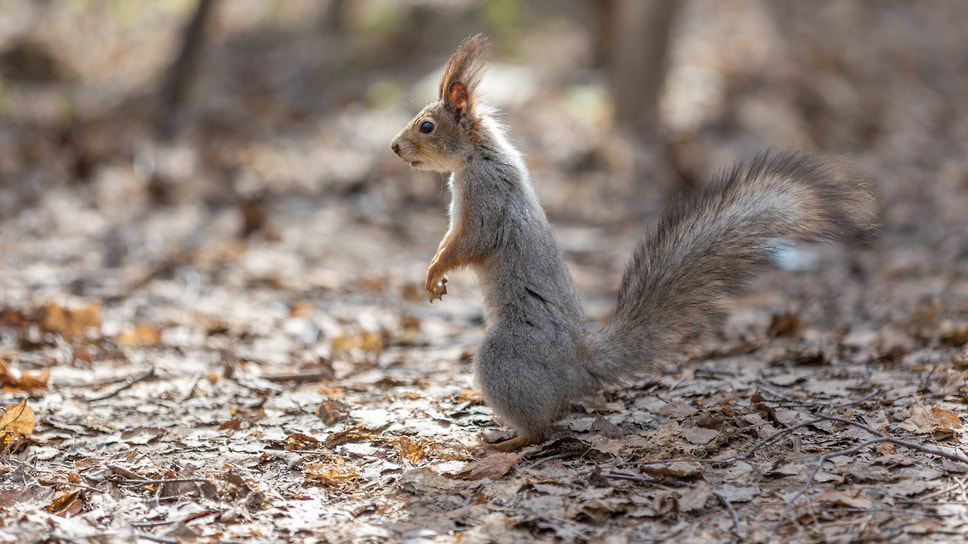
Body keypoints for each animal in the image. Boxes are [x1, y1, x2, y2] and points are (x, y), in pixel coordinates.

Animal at [388, 35, 876, 450]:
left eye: (427, 126)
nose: (393, 148)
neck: (477, 155)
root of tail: (576, 370)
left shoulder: (487, 201)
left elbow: (469, 244)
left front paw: (434, 272)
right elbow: (449, 241)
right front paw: (433, 273)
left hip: (506, 356)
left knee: (542, 429)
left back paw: (504, 443)